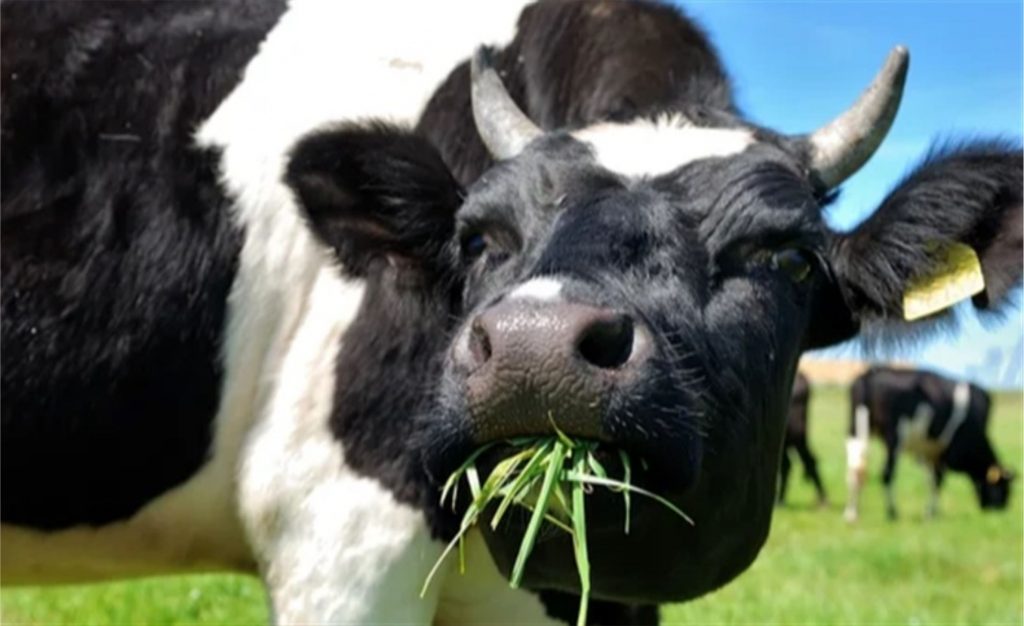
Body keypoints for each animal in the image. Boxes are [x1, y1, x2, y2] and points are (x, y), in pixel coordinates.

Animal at [839, 366, 1015, 524]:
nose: (1001, 509)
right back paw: (892, 512)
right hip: (894, 437)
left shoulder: (929, 451)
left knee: (855, 470)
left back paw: (851, 514)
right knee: (886, 473)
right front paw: (931, 513)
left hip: (854, 430)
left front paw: (930, 512)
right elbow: (938, 480)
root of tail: (870, 374)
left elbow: (931, 480)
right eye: (1004, 487)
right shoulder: (944, 451)